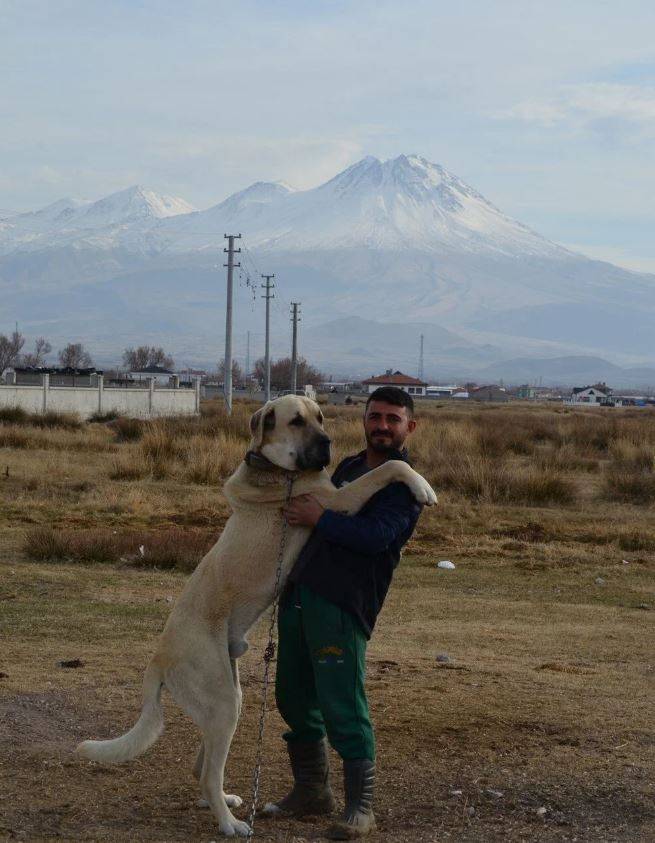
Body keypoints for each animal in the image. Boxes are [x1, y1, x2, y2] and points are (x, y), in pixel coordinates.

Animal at [78, 396, 436, 836]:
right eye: (296, 421)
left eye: (320, 417)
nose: (328, 444)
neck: (278, 468)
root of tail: (158, 659)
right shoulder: (334, 502)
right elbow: (389, 468)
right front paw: (422, 485)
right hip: (222, 702)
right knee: (207, 774)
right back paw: (230, 823)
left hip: (228, 698)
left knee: (202, 768)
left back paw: (225, 802)